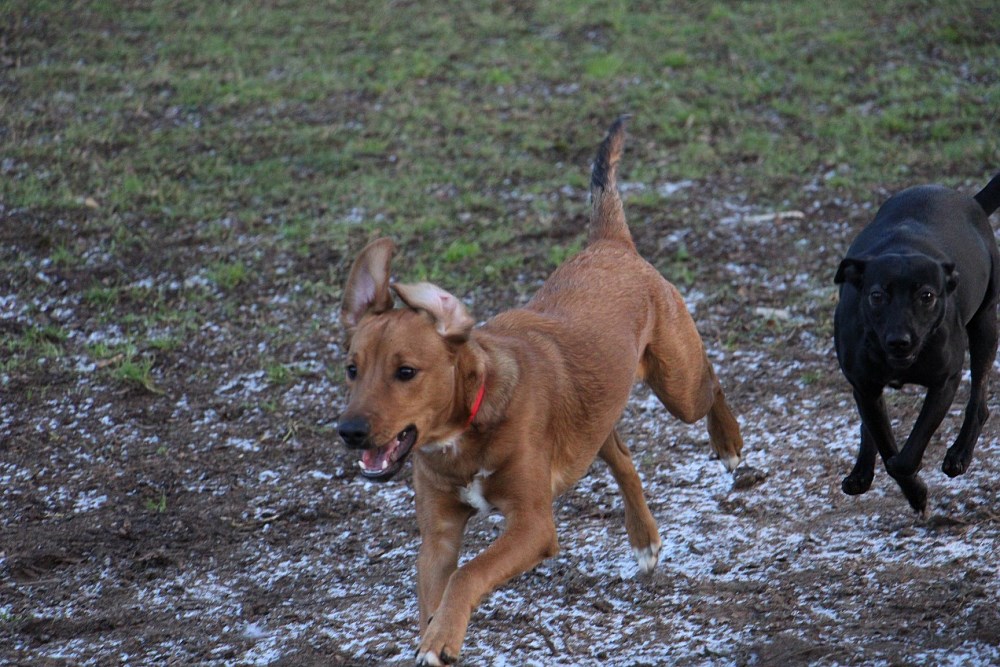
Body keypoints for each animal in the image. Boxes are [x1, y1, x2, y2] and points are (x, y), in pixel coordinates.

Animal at [337, 117, 744, 665]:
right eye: (352, 369)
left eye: (406, 371)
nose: (349, 430)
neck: (471, 422)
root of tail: (611, 244)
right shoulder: (439, 534)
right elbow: (438, 588)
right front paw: (437, 635)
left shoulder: (532, 525)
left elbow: (469, 574)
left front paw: (441, 638)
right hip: (597, 412)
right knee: (620, 455)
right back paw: (644, 539)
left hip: (677, 385)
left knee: (712, 384)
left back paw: (729, 444)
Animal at [834, 172, 1000, 513]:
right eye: (876, 295)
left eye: (927, 296)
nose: (900, 340)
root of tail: (971, 201)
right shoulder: (865, 387)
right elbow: (885, 444)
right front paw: (914, 492)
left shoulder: (944, 383)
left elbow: (903, 458)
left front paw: (918, 492)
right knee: (869, 426)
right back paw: (861, 473)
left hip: (986, 324)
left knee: (979, 399)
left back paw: (959, 455)